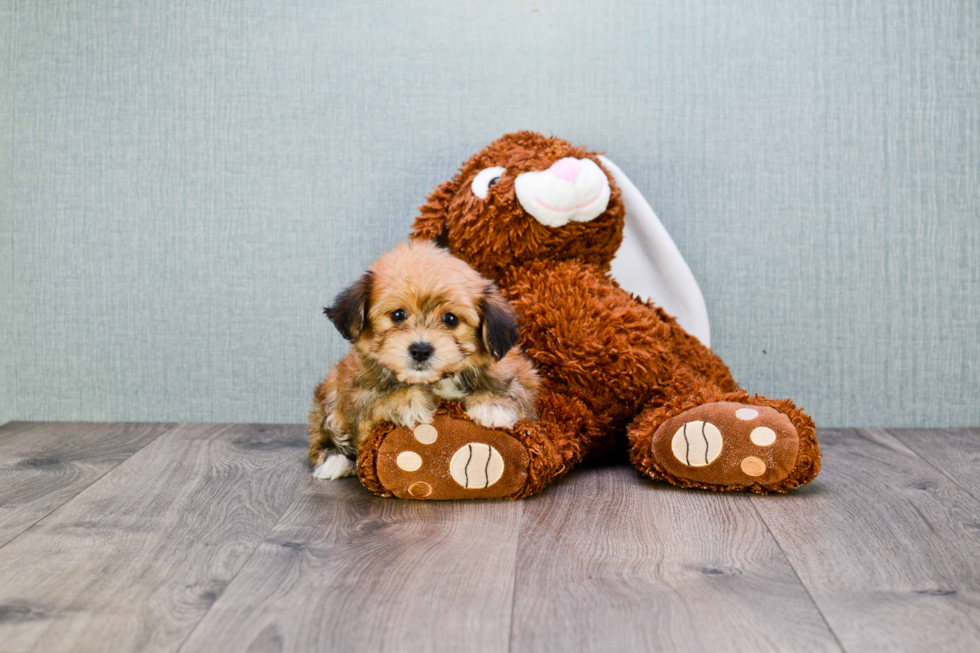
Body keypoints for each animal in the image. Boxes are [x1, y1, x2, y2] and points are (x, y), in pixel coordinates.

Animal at [308, 239, 540, 478]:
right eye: (398, 315)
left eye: (451, 319)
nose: (420, 350)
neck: (436, 380)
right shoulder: (359, 397)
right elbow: (378, 400)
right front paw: (408, 402)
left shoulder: (523, 377)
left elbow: (514, 390)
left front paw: (492, 405)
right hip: (331, 391)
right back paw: (334, 459)